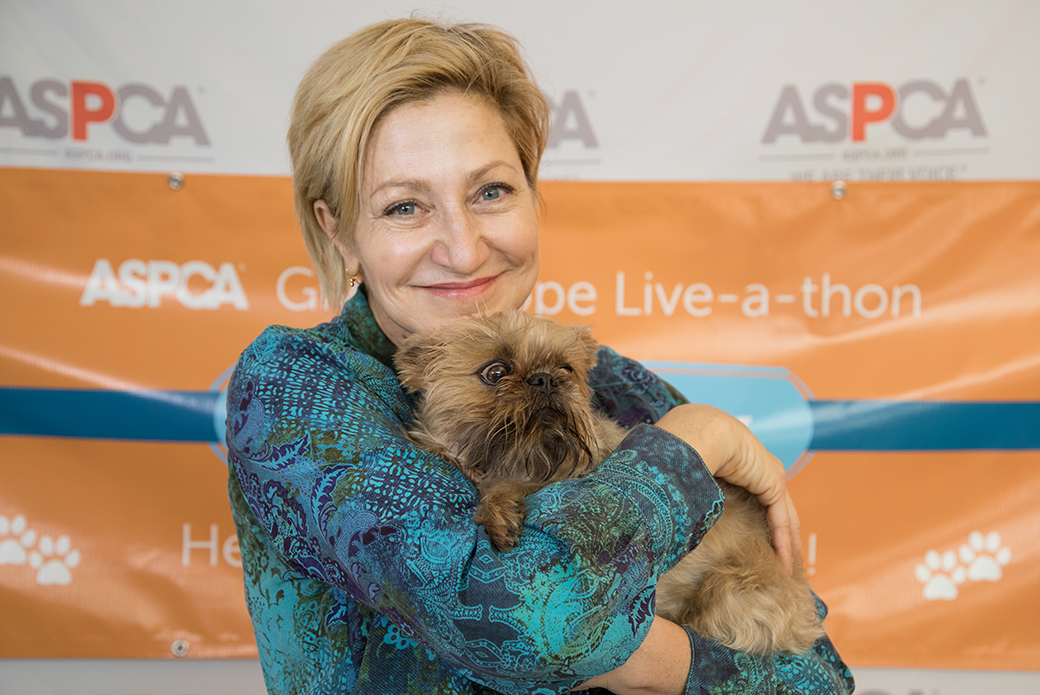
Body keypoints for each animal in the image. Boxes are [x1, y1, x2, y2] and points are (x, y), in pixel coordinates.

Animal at [393, 312, 823, 653]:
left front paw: (499, 508)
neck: (524, 455)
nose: (545, 379)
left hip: (730, 594)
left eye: (566, 369)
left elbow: (518, 487)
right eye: (495, 372)